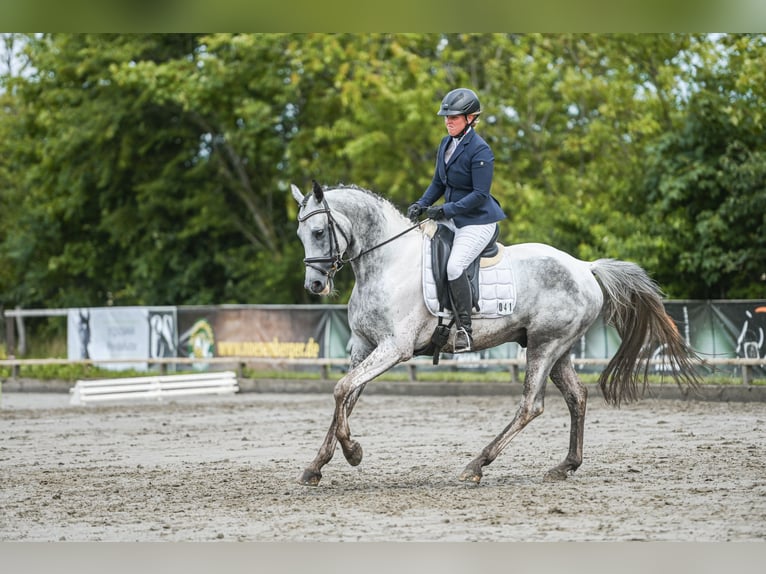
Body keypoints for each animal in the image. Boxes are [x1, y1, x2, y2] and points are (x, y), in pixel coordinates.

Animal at [290, 182, 704, 488]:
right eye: (300, 233)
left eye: (319, 231)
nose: (314, 285)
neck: (387, 263)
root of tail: (584, 266)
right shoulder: (364, 347)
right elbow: (347, 397)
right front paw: (316, 466)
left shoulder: (395, 349)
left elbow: (341, 390)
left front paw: (353, 452)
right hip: (558, 348)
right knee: (577, 396)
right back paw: (565, 466)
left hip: (544, 345)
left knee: (530, 406)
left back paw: (477, 464)